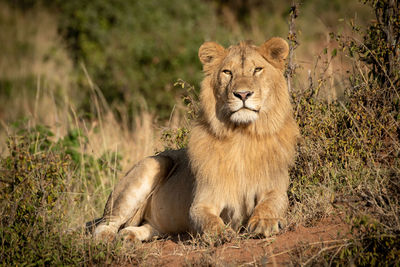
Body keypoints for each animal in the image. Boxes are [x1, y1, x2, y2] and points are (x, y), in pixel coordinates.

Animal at [94, 37, 298, 243]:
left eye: (257, 69)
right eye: (227, 72)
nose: (242, 94)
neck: (241, 136)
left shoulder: (275, 188)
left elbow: (271, 203)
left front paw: (265, 222)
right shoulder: (202, 202)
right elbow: (208, 220)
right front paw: (221, 233)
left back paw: (129, 236)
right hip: (152, 164)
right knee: (104, 224)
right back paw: (108, 239)